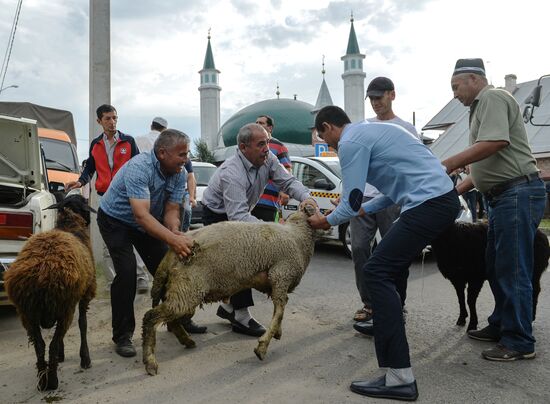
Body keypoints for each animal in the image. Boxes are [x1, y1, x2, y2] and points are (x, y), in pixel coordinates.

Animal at [4, 196, 97, 392]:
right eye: (84, 201)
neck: (69, 226)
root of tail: (41, 273)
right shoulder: (86, 292)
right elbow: (83, 324)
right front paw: (85, 358)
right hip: (65, 306)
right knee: (52, 344)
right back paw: (52, 382)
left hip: (27, 313)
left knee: (39, 345)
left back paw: (42, 381)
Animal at [142, 202, 320, 376]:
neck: (297, 235)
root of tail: (173, 250)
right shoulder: (281, 275)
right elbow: (280, 311)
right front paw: (262, 347)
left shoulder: (278, 281)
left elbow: (279, 311)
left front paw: (277, 332)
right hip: (187, 289)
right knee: (151, 317)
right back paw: (150, 362)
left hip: (183, 289)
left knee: (171, 320)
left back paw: (187, 341)